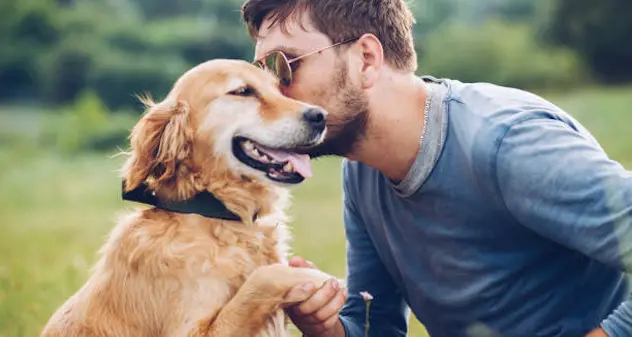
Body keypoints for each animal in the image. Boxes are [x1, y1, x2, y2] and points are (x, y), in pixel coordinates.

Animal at [39, 59, 336, 334]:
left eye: (278, 88)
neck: (212, 212)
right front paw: (316, 277)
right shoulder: (192, 331)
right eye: (243, 91)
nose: (320, 116)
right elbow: (263, 278)